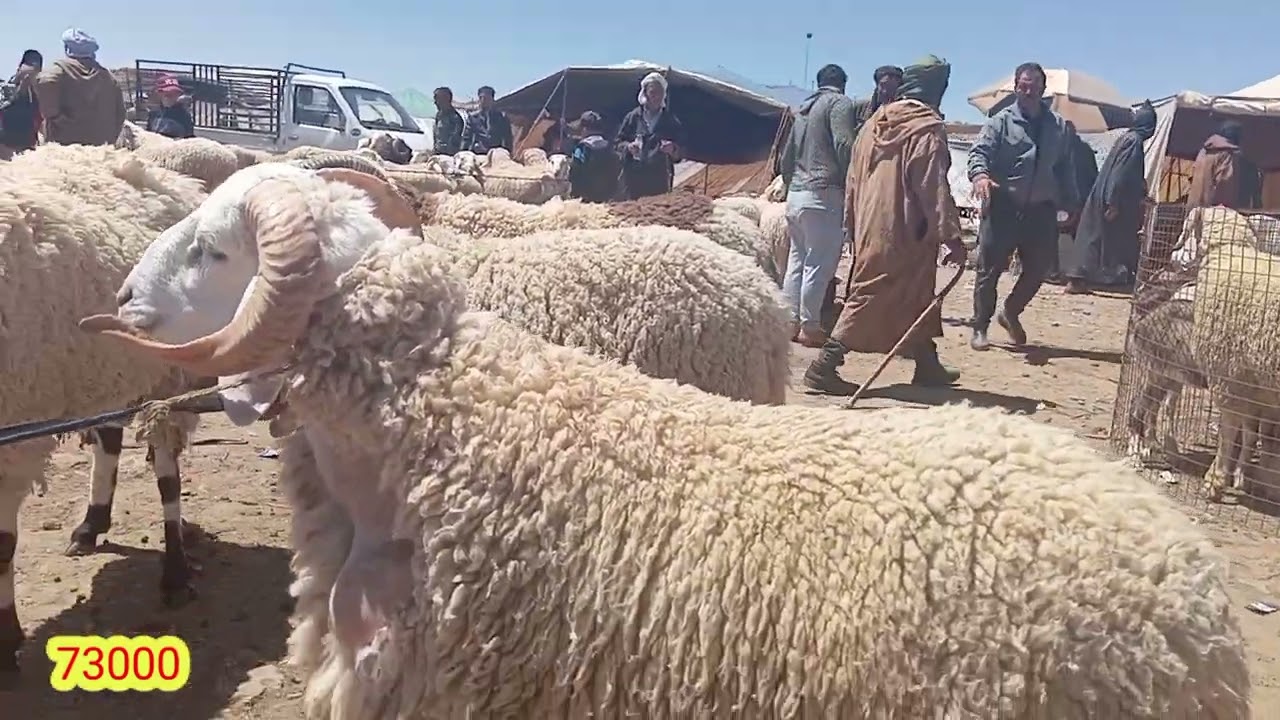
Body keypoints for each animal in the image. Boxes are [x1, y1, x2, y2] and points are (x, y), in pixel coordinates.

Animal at [0, 143, 213, 674]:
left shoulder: (14, 437)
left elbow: (1, 546)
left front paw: (6, 641)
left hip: (167, 373)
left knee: (167, 472)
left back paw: (175, 571)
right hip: (107, 369)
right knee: (111, 437)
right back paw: (92, 523)